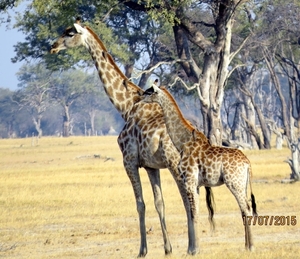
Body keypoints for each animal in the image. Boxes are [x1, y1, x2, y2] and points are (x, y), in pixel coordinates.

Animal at [50, 20, 214, 258]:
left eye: (69, 33)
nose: (52, 46)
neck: (126, 106)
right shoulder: (151, 166)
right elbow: (159, 203)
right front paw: (167, 248)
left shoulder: (129, 161)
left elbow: (140, 204)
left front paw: (142, 250)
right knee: (194, 197)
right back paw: (193, 245)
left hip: (176, 165)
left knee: (187, 198)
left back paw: (193, 247)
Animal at [143, 85, 258, 254]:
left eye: (149, 91)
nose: (140, 96)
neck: (182, 142)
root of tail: (248, 163)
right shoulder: (196, 184)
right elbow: (195, 212)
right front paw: (194, 248)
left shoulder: (189, 180)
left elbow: (193, 213)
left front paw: (194, 250)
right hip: (242, 184)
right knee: (245, 209)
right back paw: (246, 245)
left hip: (234, 183)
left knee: (247, 209)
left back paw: (251, 247)